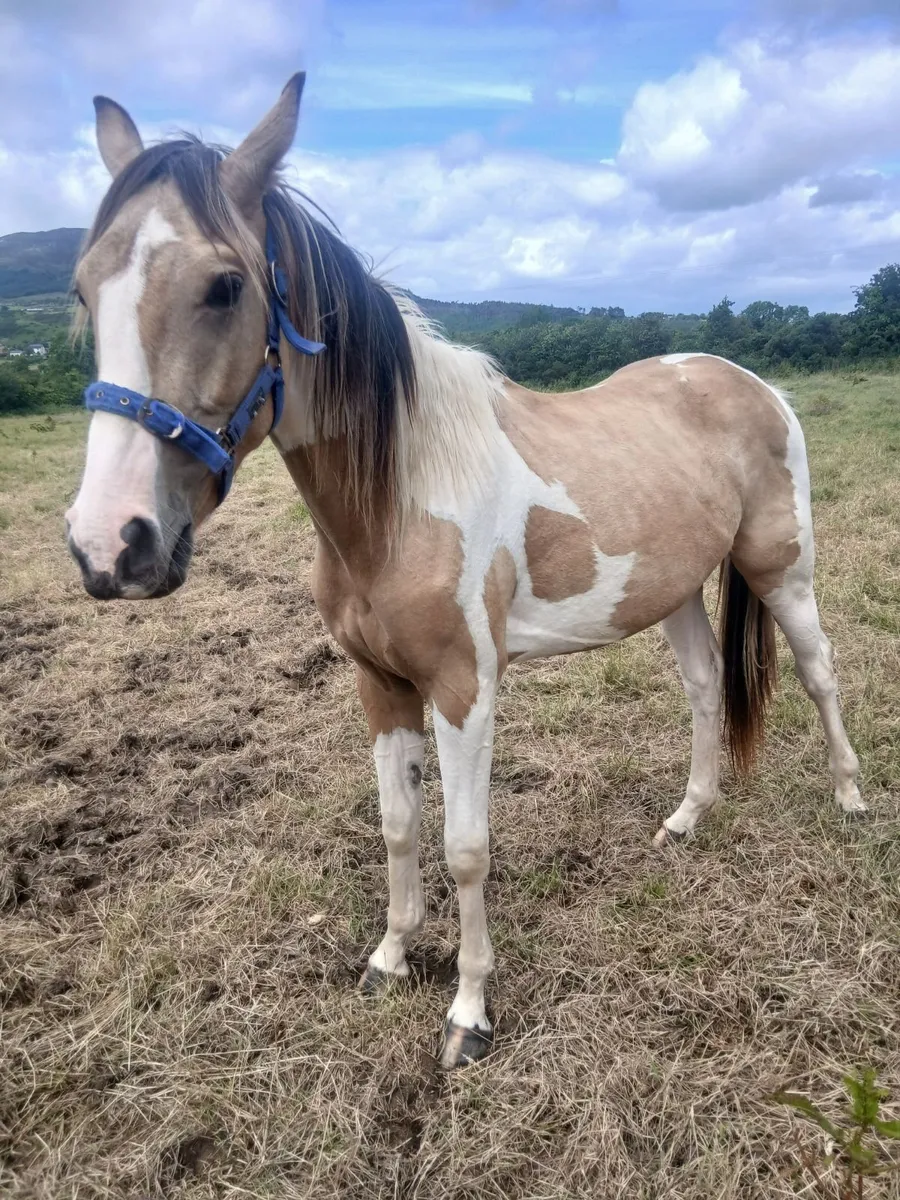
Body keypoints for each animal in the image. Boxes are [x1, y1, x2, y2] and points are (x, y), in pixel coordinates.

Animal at [66, 74, 865, 1070]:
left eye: (225, 286)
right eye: (84, 288)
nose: (111, 544)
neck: (403, 500)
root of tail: (748, 381)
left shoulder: (463, 689)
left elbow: (466, 847)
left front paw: (469, 1011)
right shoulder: (380, 686)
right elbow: (400, 828)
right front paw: (390, 958)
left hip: (782, 568)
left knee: (819, 670)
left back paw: (850, 799)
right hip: (674, 589)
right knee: (705, 685)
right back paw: (687, 819)